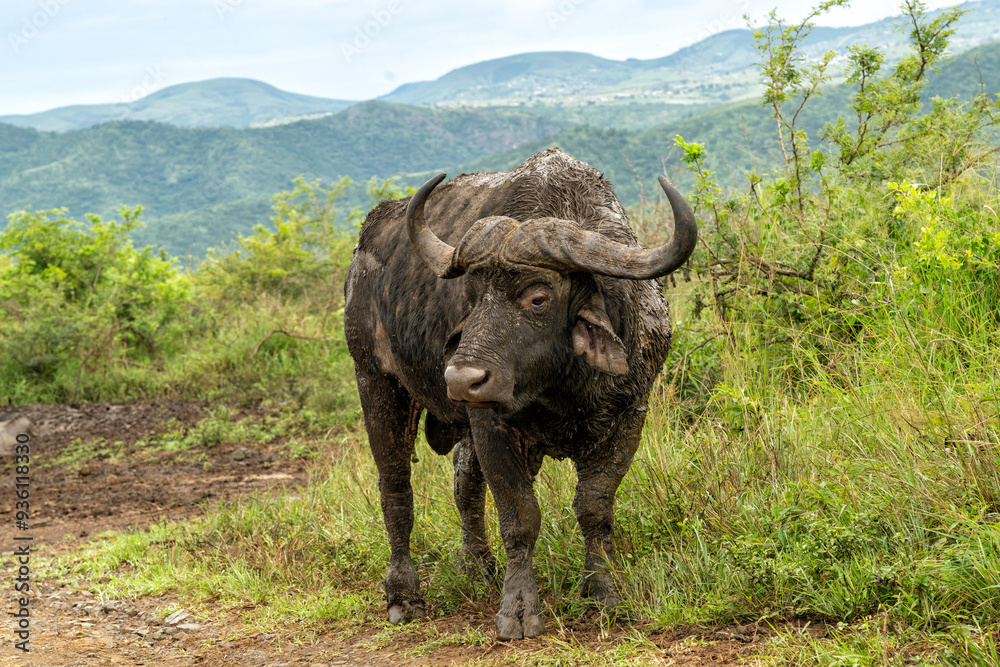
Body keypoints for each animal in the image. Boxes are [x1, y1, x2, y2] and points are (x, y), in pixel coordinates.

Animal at [343, 147, 697, 640]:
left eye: (537, 297)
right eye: (472, 296)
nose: (461, 379)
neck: (563, 385)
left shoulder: (630, 416)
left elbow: (595, 506)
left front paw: (603, 590)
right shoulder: (491, 424)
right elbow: (520, 516)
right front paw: (518, 609)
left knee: (465, 484)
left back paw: (478, 566)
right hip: (374, 379)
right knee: (395, 487)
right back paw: (404, 595)